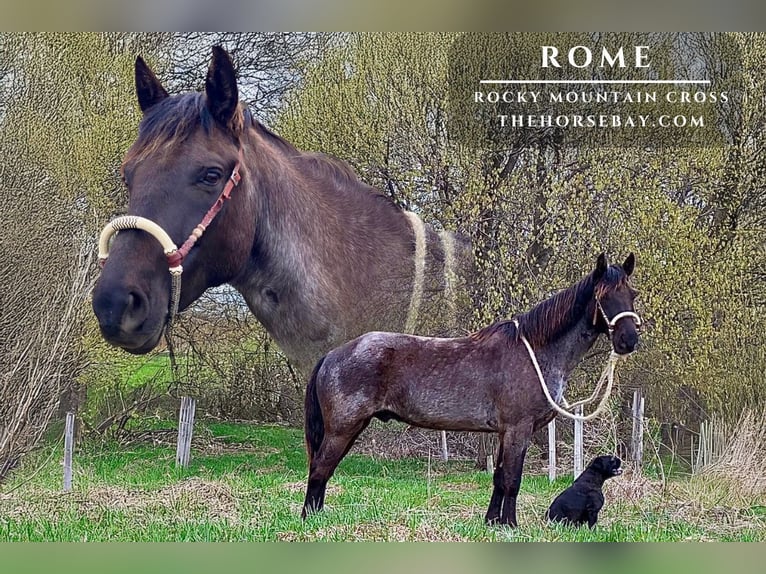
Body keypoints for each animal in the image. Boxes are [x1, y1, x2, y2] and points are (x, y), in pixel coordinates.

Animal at [301, 253, 640, 527]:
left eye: (632, 294)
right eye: (603, 296)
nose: (629, 340)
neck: (534, 351)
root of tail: (333, 354)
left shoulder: (505, 432)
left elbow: (499, 477)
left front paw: (492, 522)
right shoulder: (518, 429)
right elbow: (512, 479)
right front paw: (510, 524)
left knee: (324, 469)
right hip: (343, 428)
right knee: (320, 468)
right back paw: (310, 519)